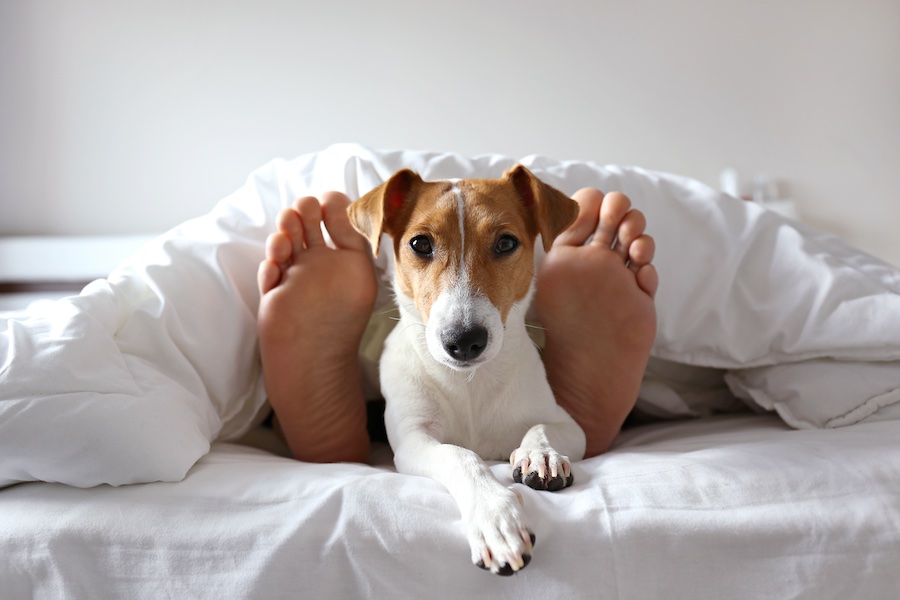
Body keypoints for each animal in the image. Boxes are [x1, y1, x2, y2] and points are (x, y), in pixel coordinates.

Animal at [348, 164, 588, 576]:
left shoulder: (569, 425)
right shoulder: (413, 439)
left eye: (506, 243)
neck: (469, 383)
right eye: (420, 244)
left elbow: (541, 429)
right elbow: (460, 455)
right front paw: (495, 515)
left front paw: (540, 454)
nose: (463, 340)